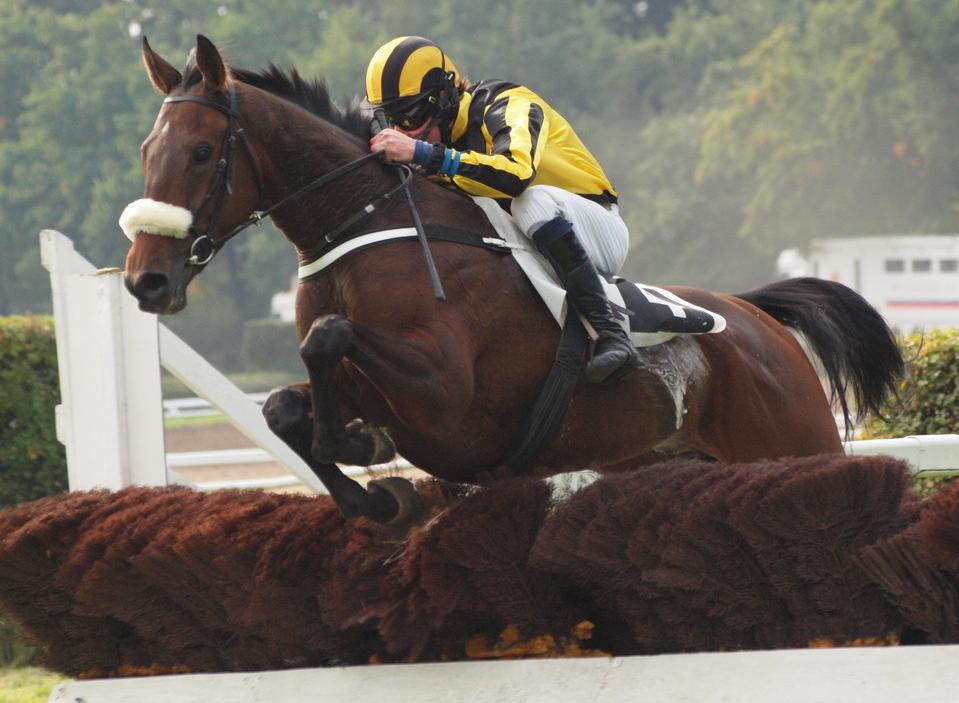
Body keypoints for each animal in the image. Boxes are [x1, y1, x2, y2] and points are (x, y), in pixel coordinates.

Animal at [124, 37, 904, 524]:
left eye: (201, 152)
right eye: (145, 151)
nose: (145, 282)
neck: (363, 223)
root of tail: (755, 316)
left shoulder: (444, 394)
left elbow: (328, 336)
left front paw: (357, 447)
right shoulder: (381, 388)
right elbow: (284, 408)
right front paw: (380, 491)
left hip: (795, 438)